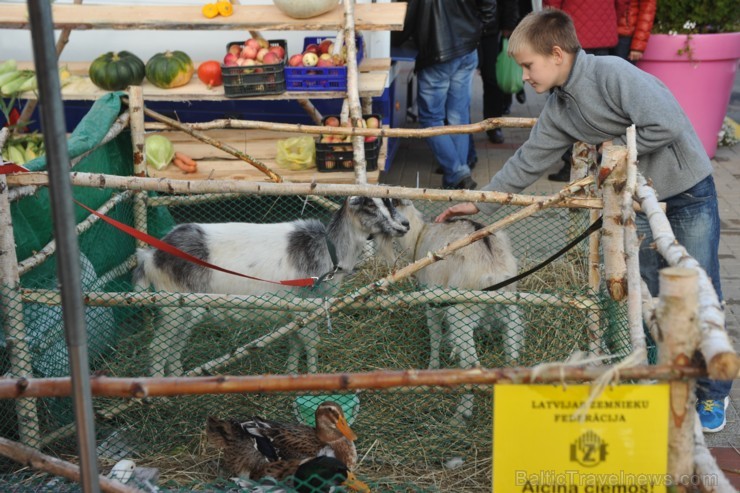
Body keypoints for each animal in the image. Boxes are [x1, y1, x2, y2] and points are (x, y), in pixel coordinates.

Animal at [134, 196, 410, 376]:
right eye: (370, 206)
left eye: (390, 202)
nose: (405, 225)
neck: (329, 251)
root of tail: (150, 257)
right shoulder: (305, 306)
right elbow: (311, 342)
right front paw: (313, 377)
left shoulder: (299, 310)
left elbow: (296, 340)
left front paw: (292, 372)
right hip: (173, 306)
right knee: (158, 347)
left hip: (186, 310)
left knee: (174, 347)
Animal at [378, 200, 524, 418]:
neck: (421, 233)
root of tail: (493, 271)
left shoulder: (432, 299)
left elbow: (436, 335)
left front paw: (433, 367)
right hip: (507, 306)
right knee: (512, 354)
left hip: (461, 312)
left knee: (472, 363)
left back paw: (461, 415)